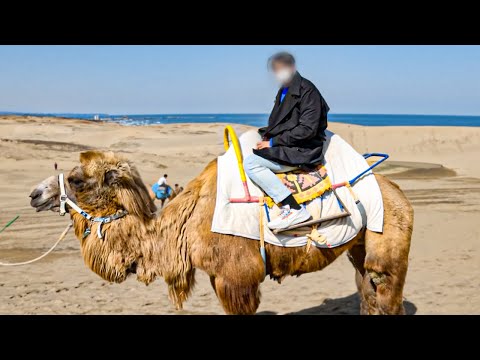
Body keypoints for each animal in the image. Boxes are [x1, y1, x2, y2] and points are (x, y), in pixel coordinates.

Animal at [29, 150, 412, 314]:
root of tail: (398, 192)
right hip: (359, 247)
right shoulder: (219, 277)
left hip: (390, 240)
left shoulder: (237, 278)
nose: (35, 194)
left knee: (385, 290)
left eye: (77, 180)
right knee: (368, 291)